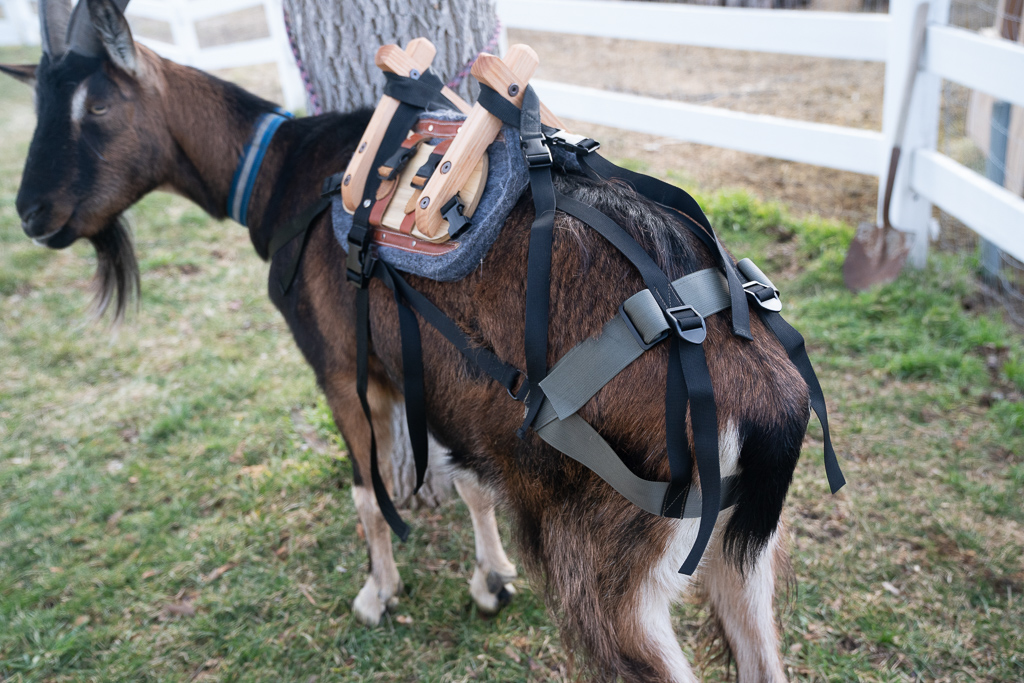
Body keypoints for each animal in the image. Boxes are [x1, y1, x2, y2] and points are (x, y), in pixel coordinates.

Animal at [2, 1, 815, 680]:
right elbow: (467, 481)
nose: (33, 214)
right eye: (38, 102)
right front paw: (490, 582)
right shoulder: (444, 384)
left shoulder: (343, 368)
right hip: (743, 553)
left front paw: (379, 592)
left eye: (98, 104)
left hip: (602, 562)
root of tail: (766, 399)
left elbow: (370, 492)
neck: (283, 173)